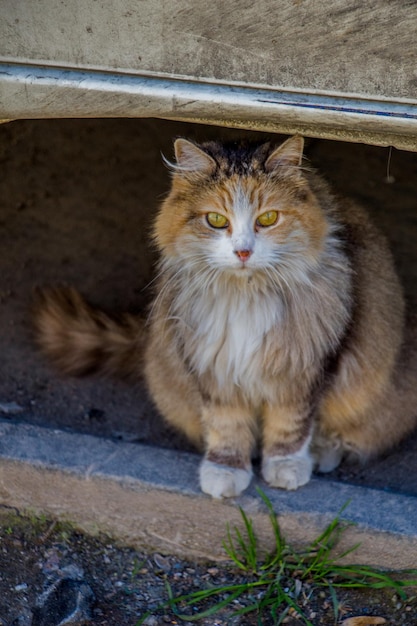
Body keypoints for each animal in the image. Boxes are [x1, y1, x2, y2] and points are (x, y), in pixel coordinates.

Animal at [33, 136, 416, 498]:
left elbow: (290, 425)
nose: (243, 252)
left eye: (267, 219)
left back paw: (321, 454)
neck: (246, 296)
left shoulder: (302, 369)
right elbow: (226, 427)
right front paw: (226, 471)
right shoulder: (213, 366)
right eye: (216, 220)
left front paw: (286, 467)